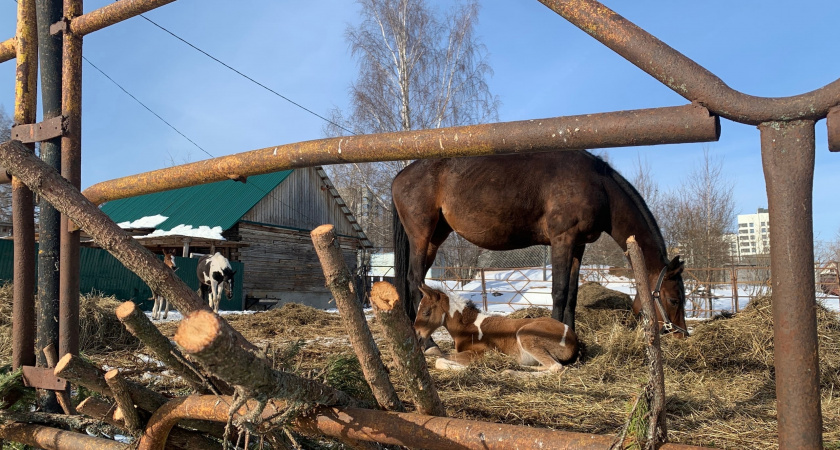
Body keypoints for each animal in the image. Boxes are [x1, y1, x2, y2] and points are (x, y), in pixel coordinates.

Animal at [394, 151, 688, 338]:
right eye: (674, 299)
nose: (681, 335)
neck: (597, 186)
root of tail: (400, 176)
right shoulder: (562, 241)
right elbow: (558, 292)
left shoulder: (577, 246)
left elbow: (572, 295)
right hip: (421, 236)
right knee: (414, 281)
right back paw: (429, 344)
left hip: (435, 238)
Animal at [414, 284, 576, 372]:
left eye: (426, 312)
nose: (417, 336)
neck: (468, 327)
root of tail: (572, 337)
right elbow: (437, 354)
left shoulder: (481, 352)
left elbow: (439, 360)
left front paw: (466, 368)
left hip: (526, 335)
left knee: (556, 367)